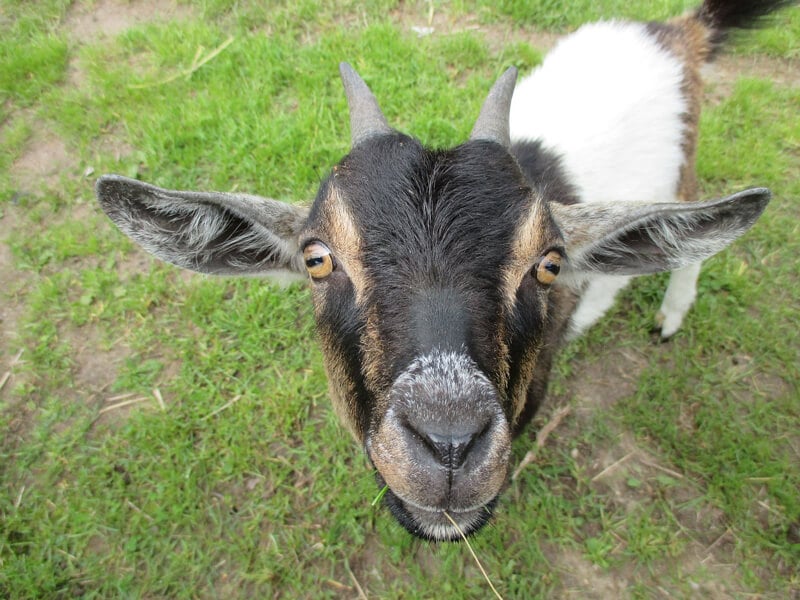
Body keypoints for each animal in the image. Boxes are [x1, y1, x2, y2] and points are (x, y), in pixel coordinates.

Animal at [95, 0, 788, 540]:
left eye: (548, 265)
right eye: (318, 260)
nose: (450, 447)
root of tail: (677, 31)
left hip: (684, 167)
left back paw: (665, 315)